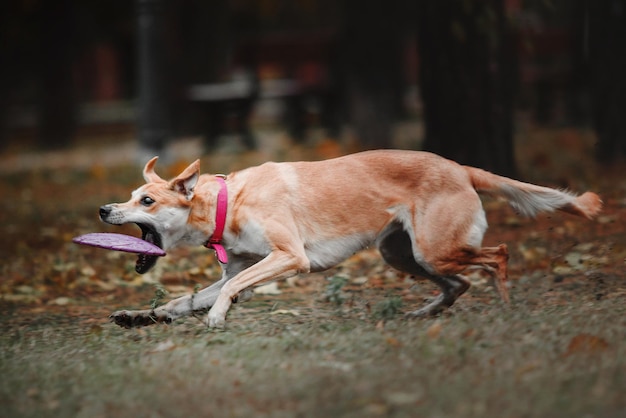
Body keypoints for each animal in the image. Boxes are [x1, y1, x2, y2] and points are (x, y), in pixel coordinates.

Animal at [101, 150, 600, 330]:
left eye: (146, 200)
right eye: (131, 196)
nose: (104, 210)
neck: (228, 201)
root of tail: (460, 167)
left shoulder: (290, 257)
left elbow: (228, 290)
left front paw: (218, 316)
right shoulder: (239, 269)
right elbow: (189, 298)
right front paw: (142, 316)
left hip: (435, 249)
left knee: (497, 257)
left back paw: (506, 308)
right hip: (404, 254)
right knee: (459, 284)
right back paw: (422, 313)